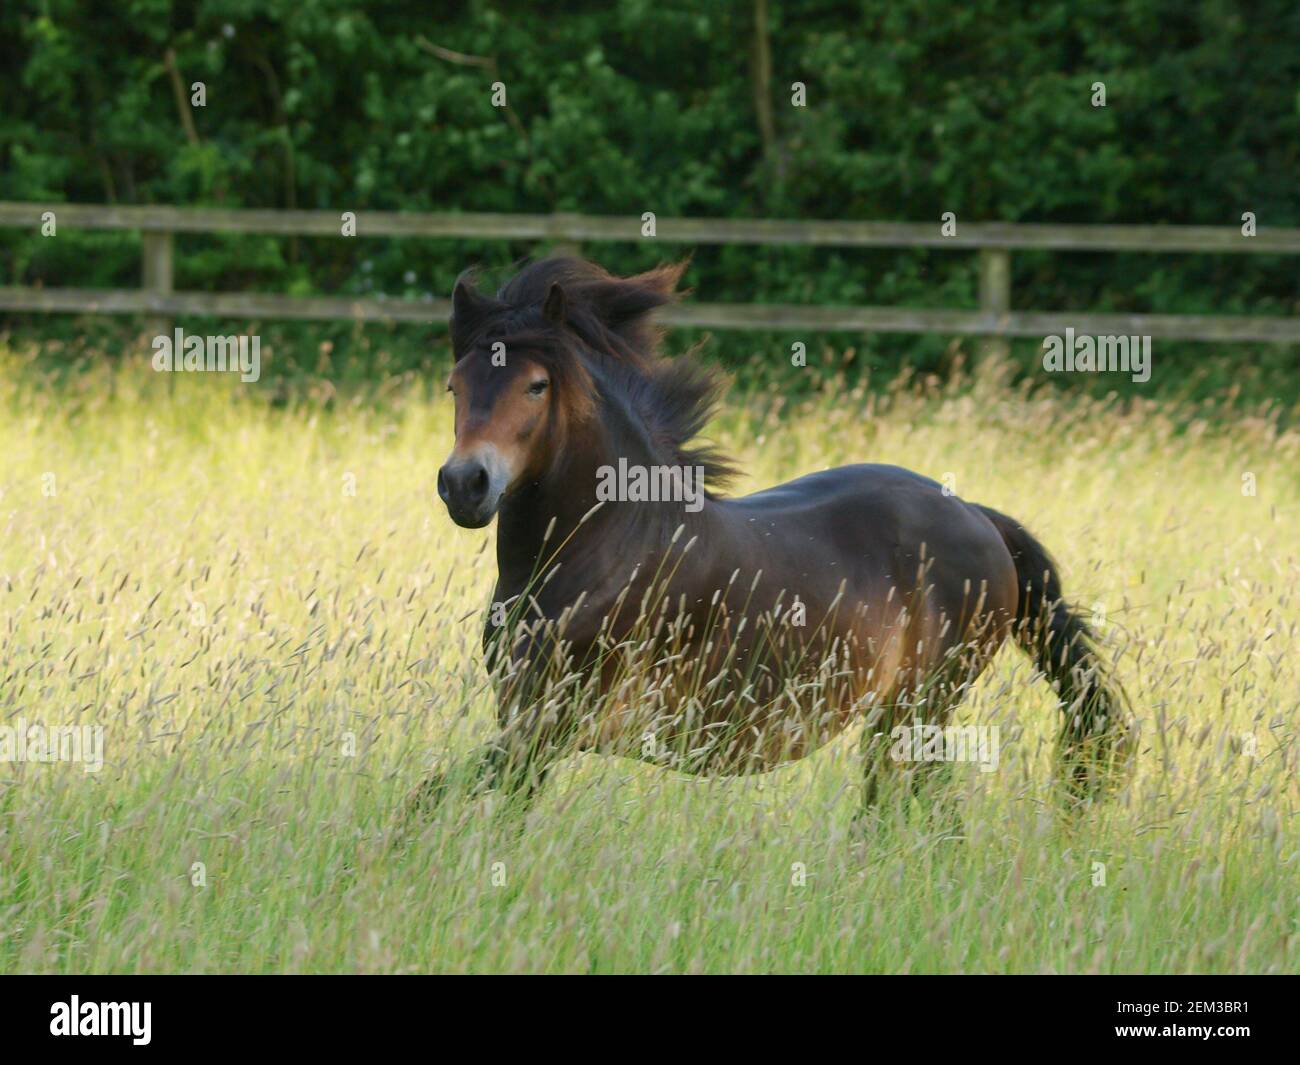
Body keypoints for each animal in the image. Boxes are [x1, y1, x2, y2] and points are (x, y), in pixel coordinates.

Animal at [410, 258, 1133, 827]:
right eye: (455, 385)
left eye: (536, 385)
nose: (465, 484)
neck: (601, 549)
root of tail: (980, 518)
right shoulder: (523, 715)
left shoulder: (553, 724)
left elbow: (431, 796)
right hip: (901, 717)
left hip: (918, 707)